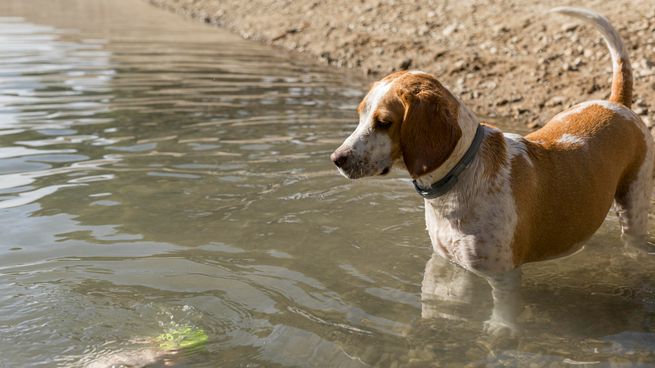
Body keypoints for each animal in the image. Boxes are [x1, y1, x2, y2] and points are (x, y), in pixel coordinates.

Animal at [330, 7, 652, 336]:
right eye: (360, 115)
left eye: (384, 122)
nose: (336, 158)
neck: (458, 178)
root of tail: (616, 104)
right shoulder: (446, 262)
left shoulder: (504, 275)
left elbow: (503, 310)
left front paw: (500, 331)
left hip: (634, 207)